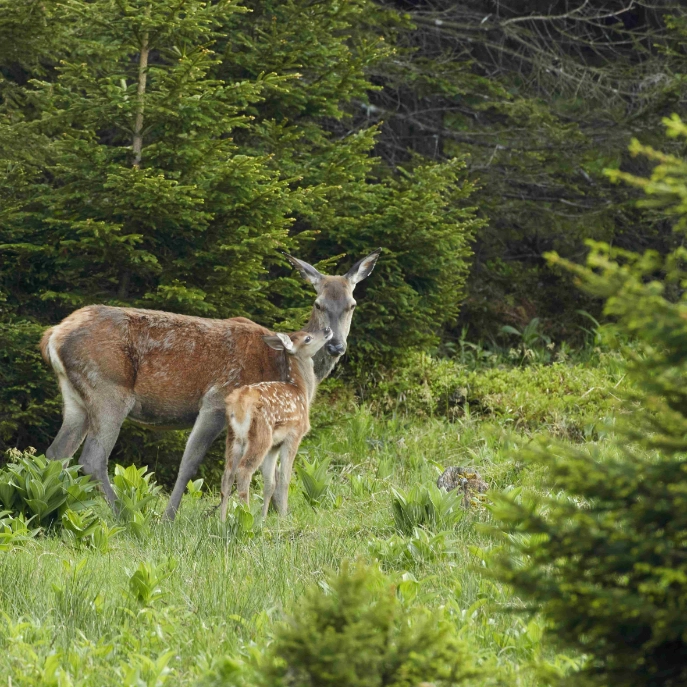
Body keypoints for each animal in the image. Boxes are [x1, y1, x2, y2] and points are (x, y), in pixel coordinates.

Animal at [218, 326, 330, 520]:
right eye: (307, 338)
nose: (327, 329)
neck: (302, 392)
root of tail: (238, 403)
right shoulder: (294, 435)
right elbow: (285, 479)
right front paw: (283, 516)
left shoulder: (274, 446)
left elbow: (270, 483)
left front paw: (264, 518)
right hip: (261, 435)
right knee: (243, 471)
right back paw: (246, 514)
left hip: (234, 438)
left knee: (227, 475)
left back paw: (223, 520)